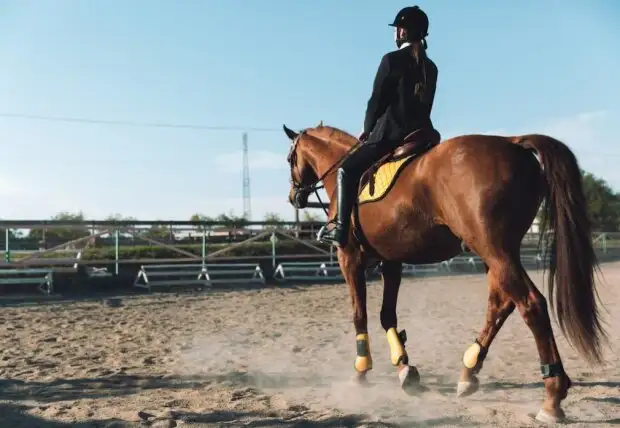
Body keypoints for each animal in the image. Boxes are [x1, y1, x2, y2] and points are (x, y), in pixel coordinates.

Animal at [284, 122, 608, 422]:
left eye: (290, 158)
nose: (293, 197)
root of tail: (511, 142)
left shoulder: (348, 258)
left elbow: (359, 315)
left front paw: (361, 371)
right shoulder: (391, 262)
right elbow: (387, 315)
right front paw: (404, 368)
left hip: (494, 250)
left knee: (531, 304)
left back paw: (552, 397)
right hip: (497, 252)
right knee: (501, 304)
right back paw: (469, 372)